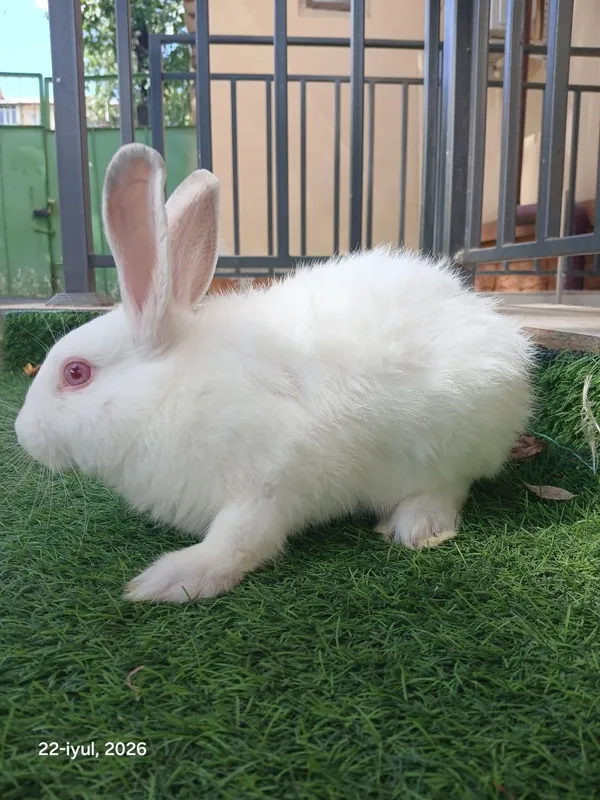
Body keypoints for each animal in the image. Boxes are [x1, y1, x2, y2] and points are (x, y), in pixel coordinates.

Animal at [14, 143, 534, 603]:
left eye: (76, 373)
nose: (21, 432)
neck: (168, 393)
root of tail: (501, 337)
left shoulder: (268, 483)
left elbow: (239, 541)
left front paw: (171, 580)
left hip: (450, 433)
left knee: (452, 484)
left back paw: (418, 526)